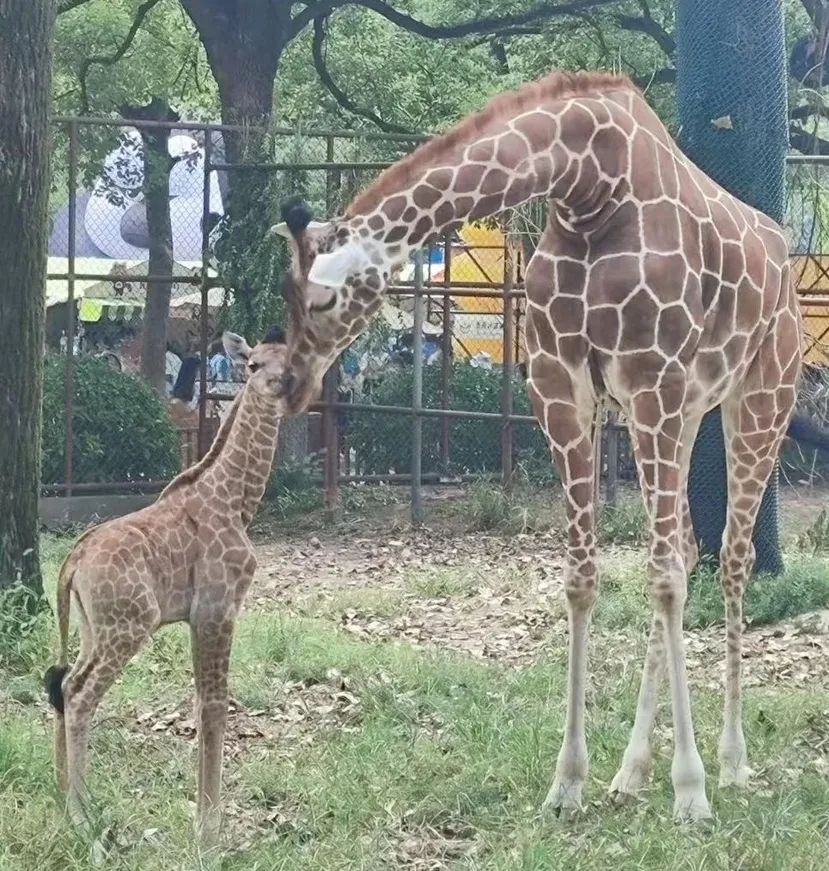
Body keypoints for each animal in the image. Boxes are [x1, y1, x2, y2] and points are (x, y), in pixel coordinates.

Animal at [46, 326, 292, 844]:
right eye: (253, 364)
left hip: (92, 629)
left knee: (64, 683)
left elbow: (201, 703)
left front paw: (203, 819)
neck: (238, 499)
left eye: (290, 361)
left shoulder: (200, 616)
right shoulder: (217, 608)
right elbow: (215, 705)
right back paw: (81, 818)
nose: (278, 387)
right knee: (79, 694)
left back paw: (63, 796)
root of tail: (72, 562)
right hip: (129, 626)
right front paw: (209, 830)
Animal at [274, 71, 804, 820]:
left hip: (760, 394)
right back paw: (631, 771)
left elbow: (664, 579)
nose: (292, 382)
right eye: (286, 292)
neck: (587, 185)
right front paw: (569, 782)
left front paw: (690, 789)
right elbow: (584, 579)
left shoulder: (653, 382)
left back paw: (729, 762)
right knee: (683, 548)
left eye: (319, 300)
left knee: (728, 557)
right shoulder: (560, 389)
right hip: (688, 410)